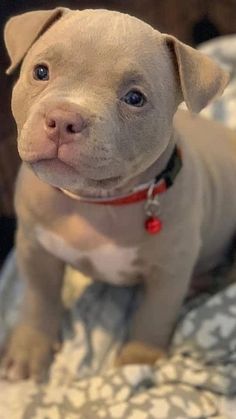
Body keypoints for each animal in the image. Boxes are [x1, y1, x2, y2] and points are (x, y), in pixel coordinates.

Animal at [1, 7, 234, 380]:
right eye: (41, 72)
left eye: (135, 98)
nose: (63, 119)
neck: (95, 203)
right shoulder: (34, 246)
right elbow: (39, 298)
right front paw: (29, 350)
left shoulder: (170, 272)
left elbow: (153, 318)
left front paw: (136, 364)